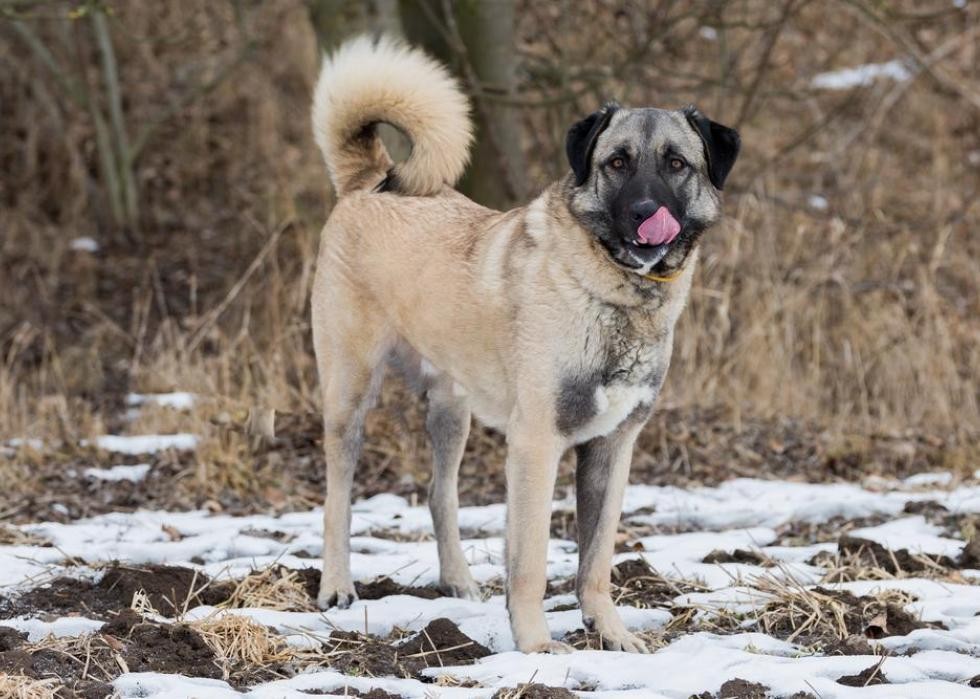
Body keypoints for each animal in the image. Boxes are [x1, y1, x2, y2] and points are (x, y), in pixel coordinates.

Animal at [310, 34, 740, 656]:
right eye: (616, 163)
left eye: (676, 164)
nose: (644, 214)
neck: (613, 292)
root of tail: (372, 180)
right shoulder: (537, 445)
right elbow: (533, 561)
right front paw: (536, 646)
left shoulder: (612, 449)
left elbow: (596, 561)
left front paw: (610, 634)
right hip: (350, 396)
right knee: (337, 498)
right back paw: (337, 586)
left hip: (451, 410)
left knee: (441, 495)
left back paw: (459, 581)